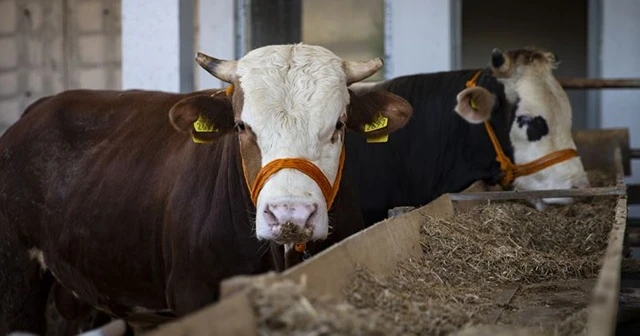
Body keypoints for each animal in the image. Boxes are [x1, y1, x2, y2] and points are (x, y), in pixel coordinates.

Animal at [0, 43, 410, 334]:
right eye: (242, 126)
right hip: (17, 283)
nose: (289, 214)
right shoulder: (192, 292)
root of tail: (36, 110)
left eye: (339, 124)